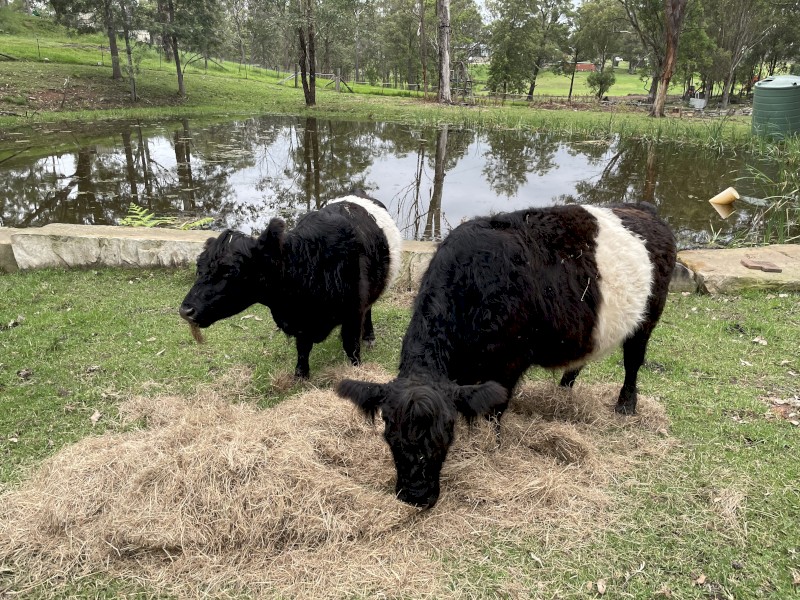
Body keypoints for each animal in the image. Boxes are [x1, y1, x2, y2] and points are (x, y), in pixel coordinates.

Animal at [180, 193, 402, 378]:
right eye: (199, 267)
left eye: (229, 271)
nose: (185, 311)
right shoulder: (300, 325)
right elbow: (302, 349)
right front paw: (301, 376)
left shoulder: (353, 312)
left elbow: (351, 347)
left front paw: (356, 370)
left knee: (369, 310)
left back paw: (369, 336)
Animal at [336, 203, 676, 508]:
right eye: (390, 437)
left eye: (446, 435)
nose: (416, 497)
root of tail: (645, 211)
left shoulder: (509, 364)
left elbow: (494, 409)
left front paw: (492, 445)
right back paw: (563, 392)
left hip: (648, 317)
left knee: (633, 361)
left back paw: (626, 405)